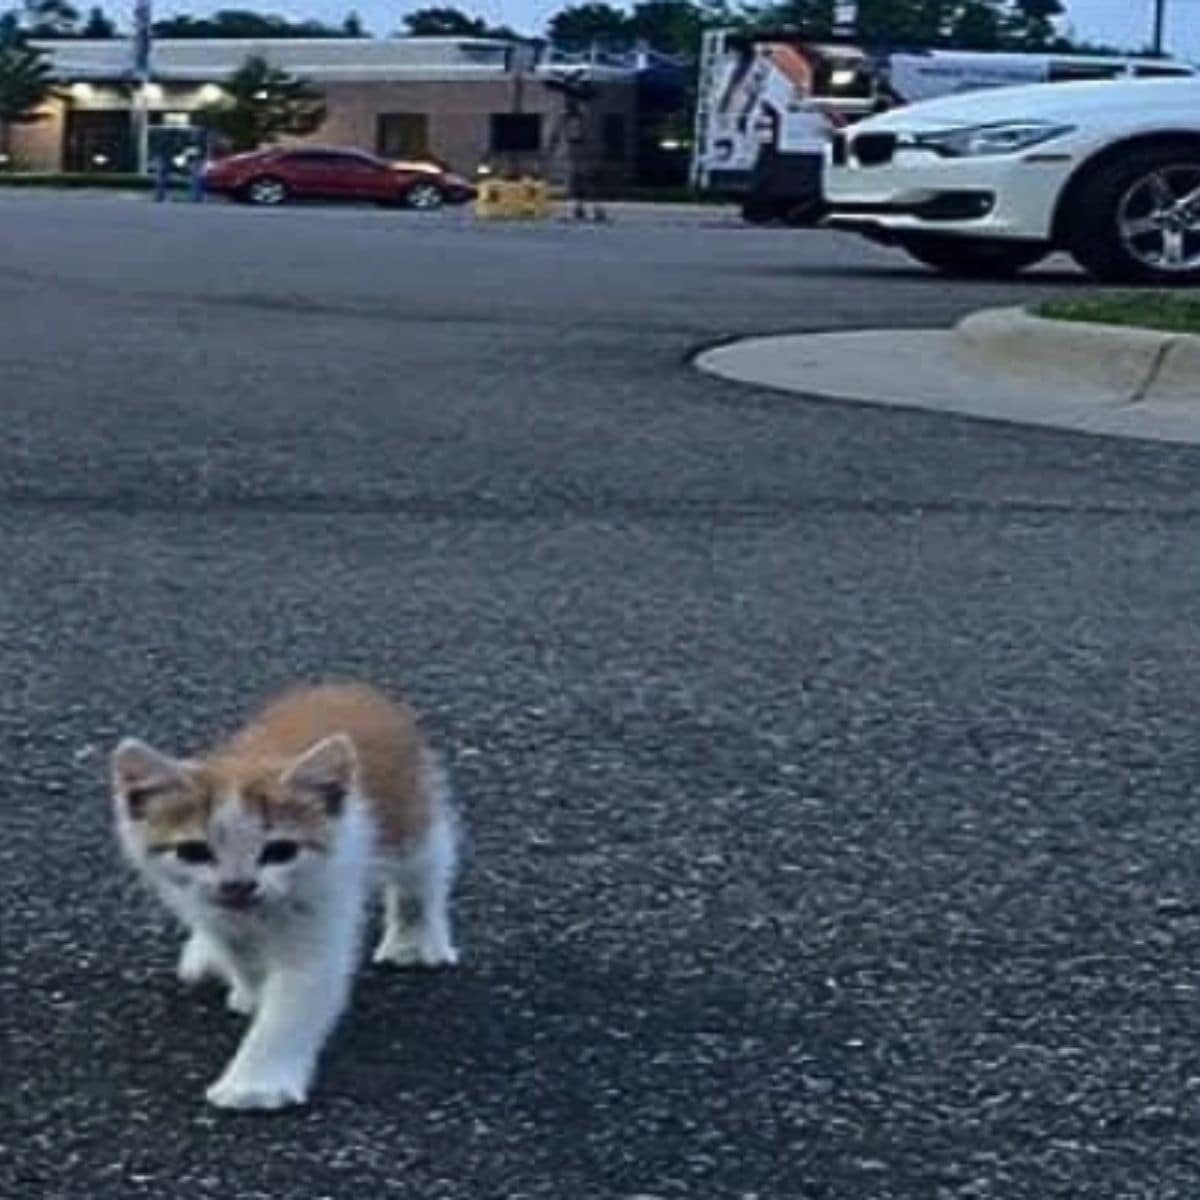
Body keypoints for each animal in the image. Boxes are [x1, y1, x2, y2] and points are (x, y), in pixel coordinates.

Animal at [109, 681, 458, 1108]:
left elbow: (297, 996)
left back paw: (415, 940)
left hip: (407, 814)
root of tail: (345, 687)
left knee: (428, 863)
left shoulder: (327, 897)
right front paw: (249, 992)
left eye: (280, 851)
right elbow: (243, 956)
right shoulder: (210, 908)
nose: (238, 885)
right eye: (193, 851)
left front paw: (255, 1084)